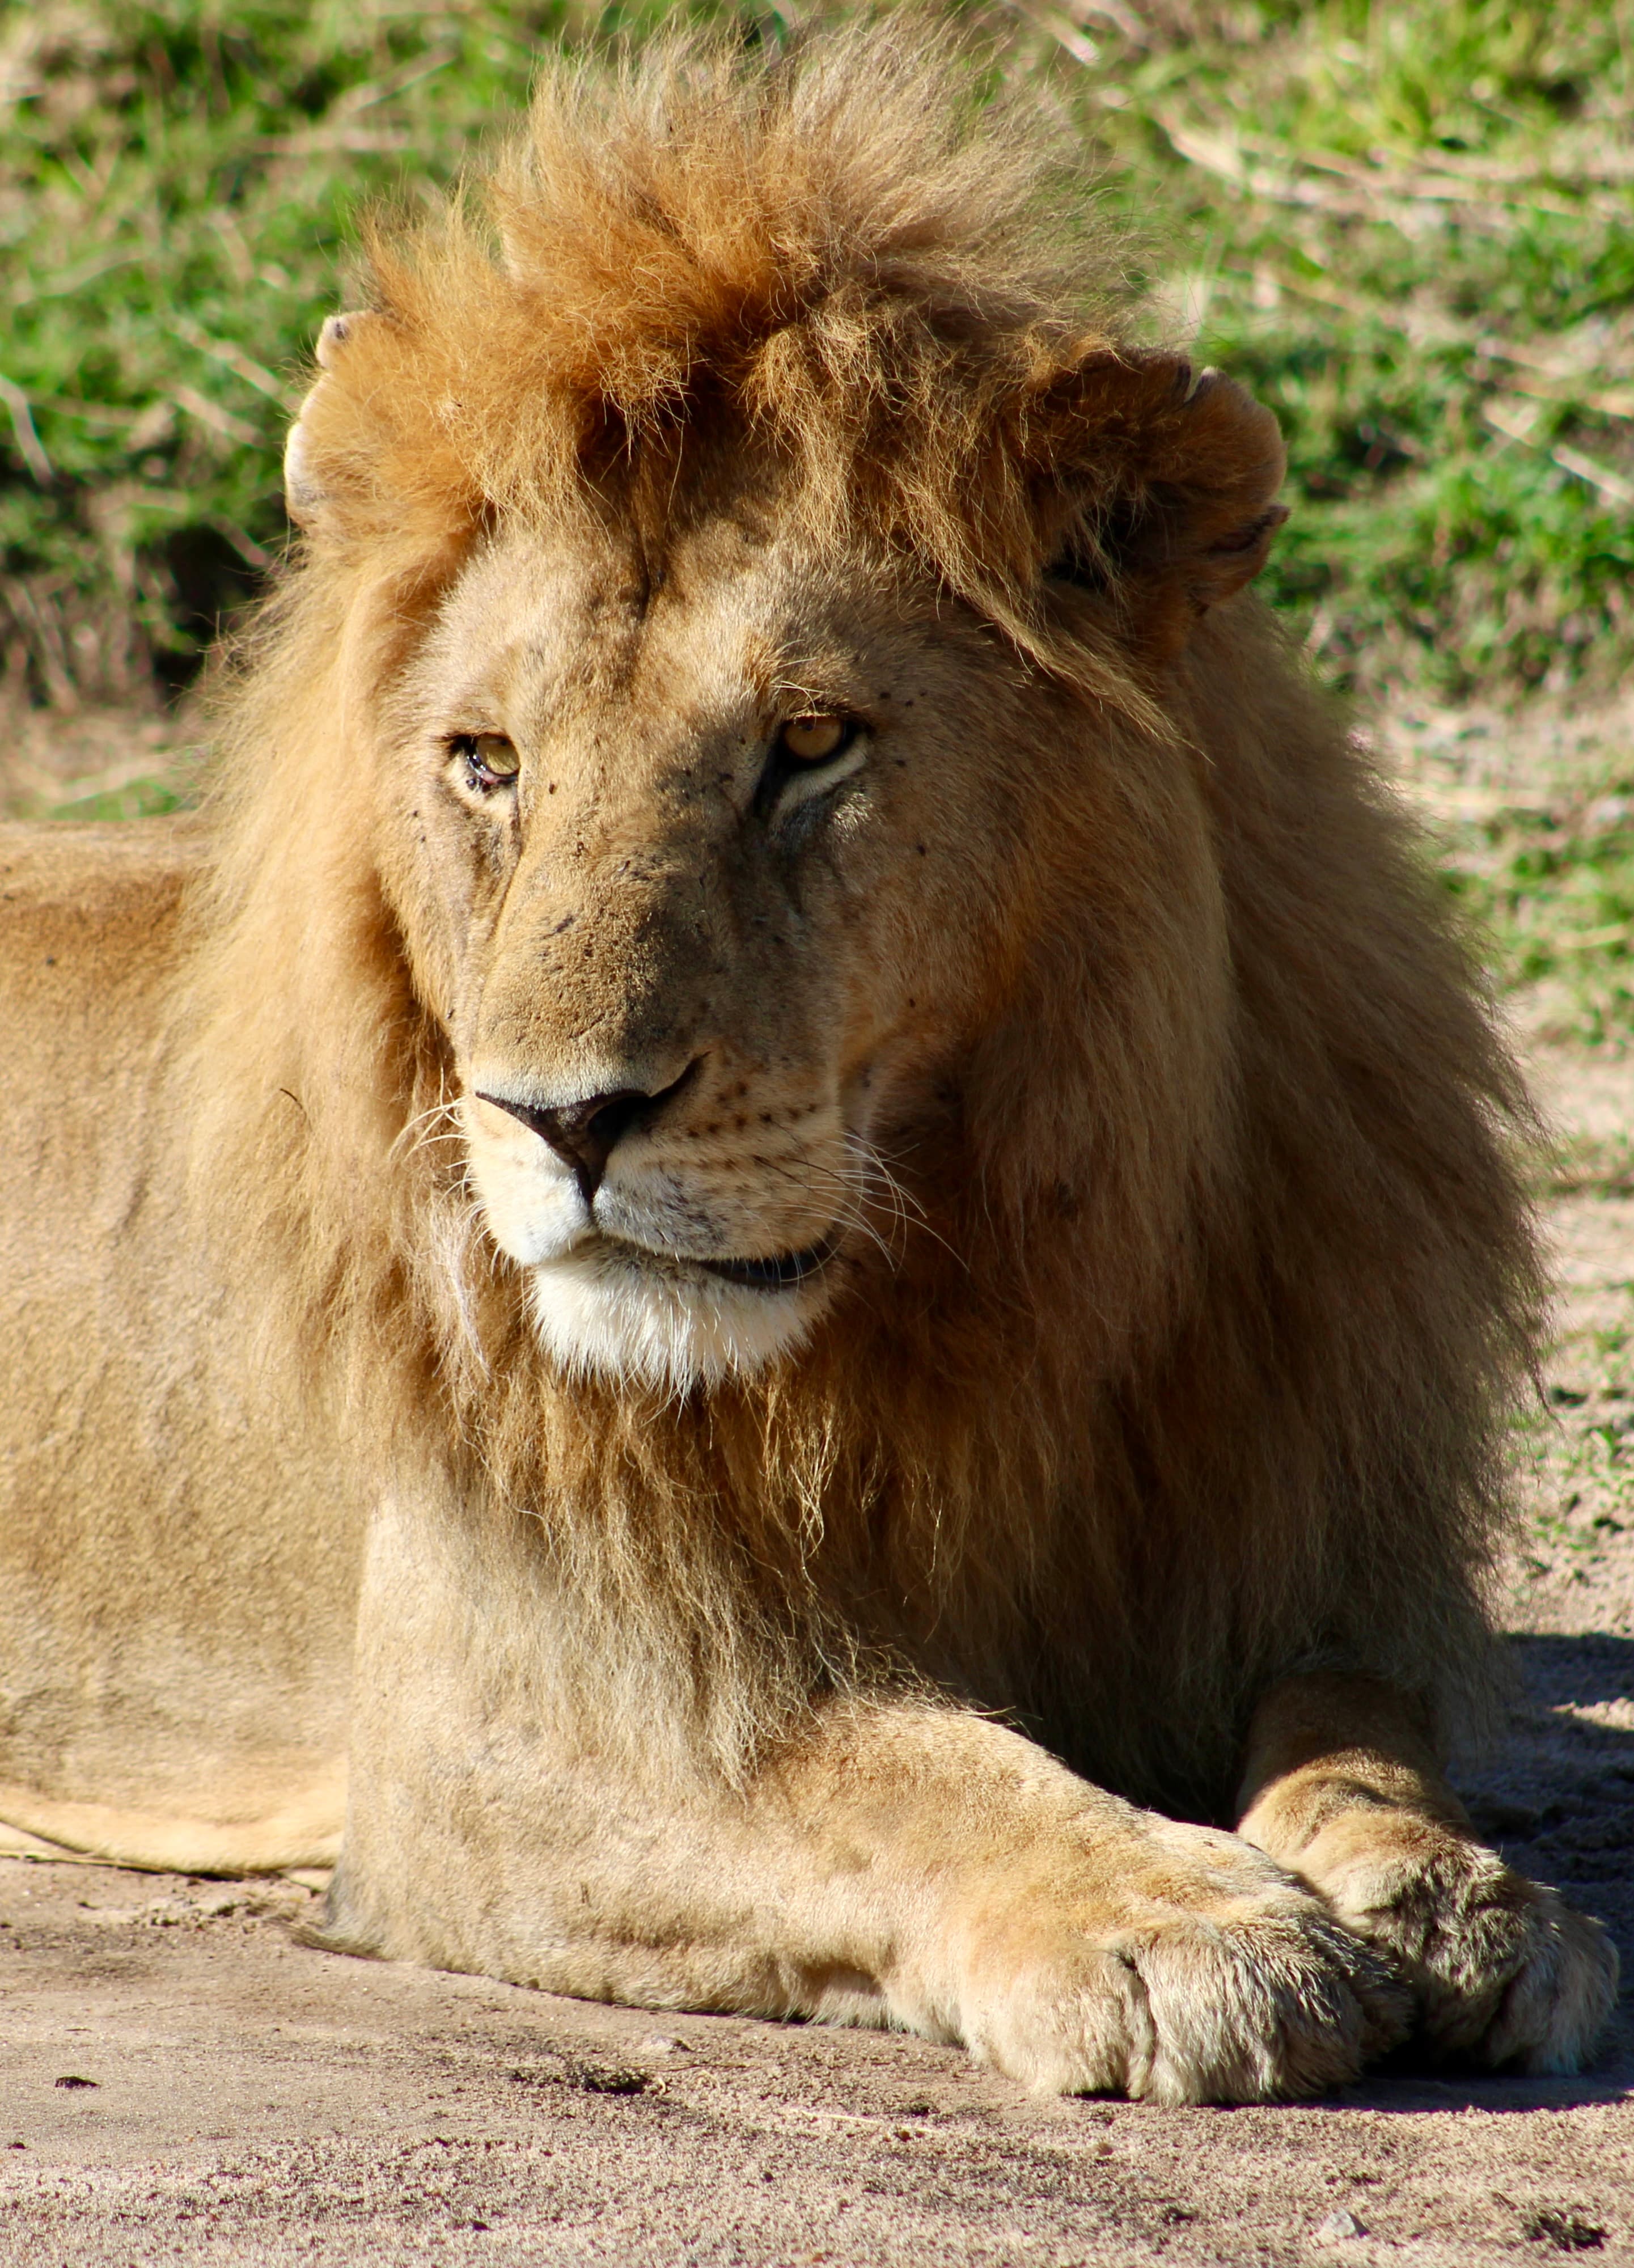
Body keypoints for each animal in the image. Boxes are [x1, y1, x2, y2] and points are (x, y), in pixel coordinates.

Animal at [0, 23, 1617, 2104]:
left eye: (811, 744)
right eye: (488, 762)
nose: (566, 1119)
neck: (986, 1268)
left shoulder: (1294, 1550)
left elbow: (1362, 1732)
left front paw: (1466, 1898)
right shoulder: (496, 1710)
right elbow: (882, 1764)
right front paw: (1178, 1924)